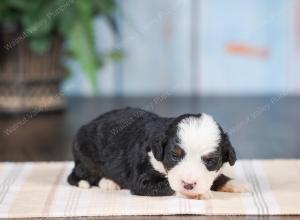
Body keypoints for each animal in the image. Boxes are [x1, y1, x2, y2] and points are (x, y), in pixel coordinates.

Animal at [68, 107, 248, 199]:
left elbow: (216, 177)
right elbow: (169, 186)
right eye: (175, 155)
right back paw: (106, 182)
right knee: (77, 176)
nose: (189, 184)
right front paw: (196, 193)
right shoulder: (141, 179)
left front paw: (235, 183)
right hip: (86, 156)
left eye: (210, 160)